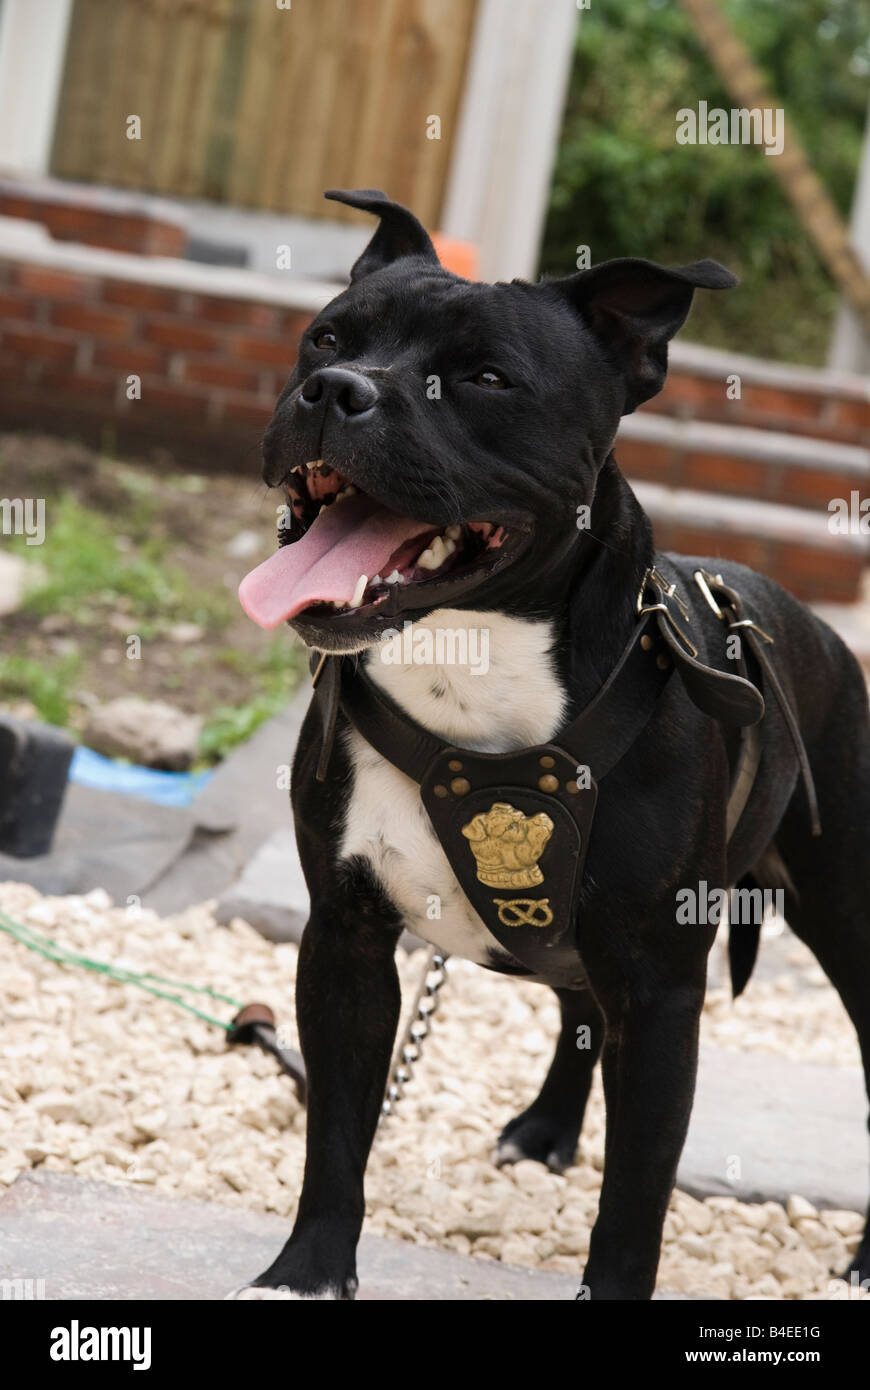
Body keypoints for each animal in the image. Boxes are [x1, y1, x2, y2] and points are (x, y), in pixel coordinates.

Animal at [232, 190, 867, 1295]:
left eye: (487, 379)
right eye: (327, 337)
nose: (334, 389)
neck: (471, 668)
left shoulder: (662, 992)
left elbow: (638, 1192)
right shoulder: (345, 941)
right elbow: (338, 1133)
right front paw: (307, 1269)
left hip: (850, 907)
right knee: (577, 1006)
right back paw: (547, 1129)